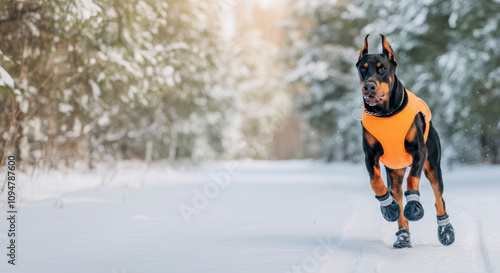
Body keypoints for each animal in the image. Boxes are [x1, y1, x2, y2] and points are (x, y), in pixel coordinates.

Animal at [354, 34, 456, 246]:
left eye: (382, 68)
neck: (386, 113)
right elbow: (375, 181)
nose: (369, 86)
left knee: (438, 197)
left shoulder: (419, 151)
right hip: (394, 171)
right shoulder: (370, 155)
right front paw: (387, 207)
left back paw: (445, 230)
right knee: (397, 195)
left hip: (433, 165)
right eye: (363, 69)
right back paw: (402, 234)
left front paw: (414, 204)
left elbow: (413, 178)